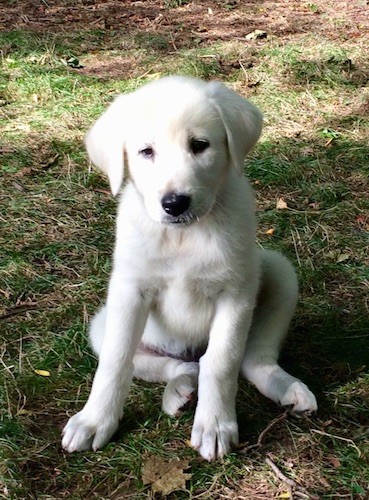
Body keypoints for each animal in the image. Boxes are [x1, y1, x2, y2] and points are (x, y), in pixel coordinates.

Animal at [61, 75, 316, 460]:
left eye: (200, 146)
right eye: (146, 151)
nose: (174, 203)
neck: (184, 236)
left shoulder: (236, 293)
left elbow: (222, 361)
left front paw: (215, 425)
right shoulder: (129, 291)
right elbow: (115, 361)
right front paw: (95, 421)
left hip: (278, 271)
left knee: (247, 358)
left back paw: (285, 387)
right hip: (101, 326)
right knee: (177, 365)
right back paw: (180, 390)